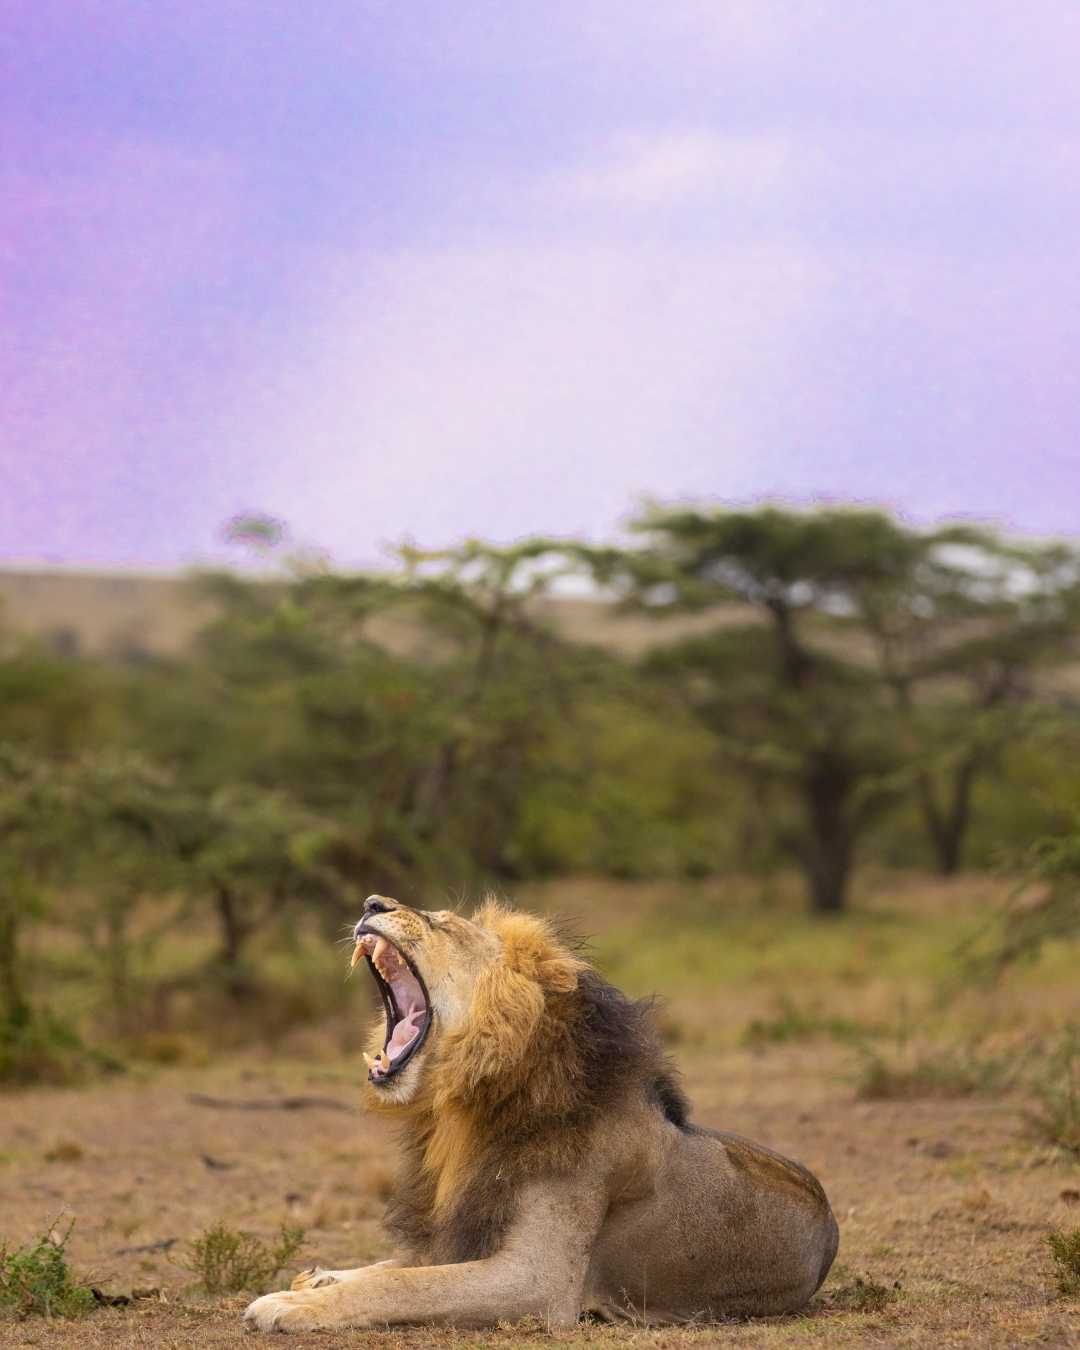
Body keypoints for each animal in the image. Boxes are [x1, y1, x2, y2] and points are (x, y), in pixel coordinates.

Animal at [244, 895, 838, 1332]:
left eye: (444, 924)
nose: (371, 901)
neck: (469, 1111)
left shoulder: (538, 1281)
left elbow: (406, 1282)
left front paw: (293, 1306)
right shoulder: (466, 1230)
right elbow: (400, 1263)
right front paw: (316, 1280)